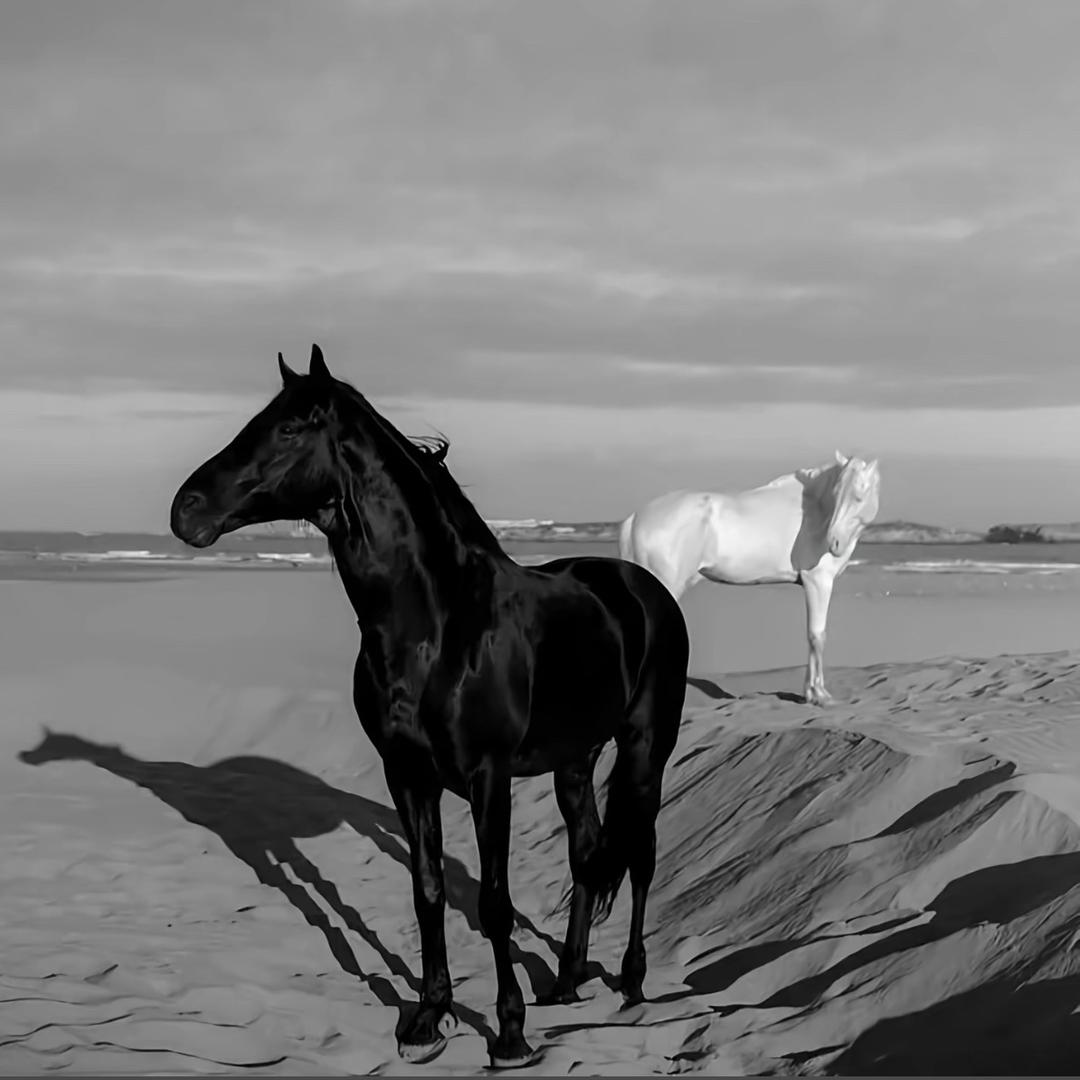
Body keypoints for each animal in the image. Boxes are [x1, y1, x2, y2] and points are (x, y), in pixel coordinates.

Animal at [169, 344, 690, 1069]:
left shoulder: (488, 777)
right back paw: (565, 983)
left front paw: (509, 1034)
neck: (439, 627)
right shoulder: (408, 775)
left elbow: (494, 903)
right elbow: (428, 892)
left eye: (289, 428)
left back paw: (632, 986)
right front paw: (428, 1018)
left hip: (646, 747)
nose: (185, 510)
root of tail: (643, 588)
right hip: (574, 760)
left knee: (640, 853)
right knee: (587, 852)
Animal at [619, 451, 880, 706]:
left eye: (858, 497)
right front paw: (819, 695)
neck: (814, 512)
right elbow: (817, 636)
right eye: (836, 494)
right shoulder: (818, 581)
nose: (834, 542)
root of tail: (635, 519)